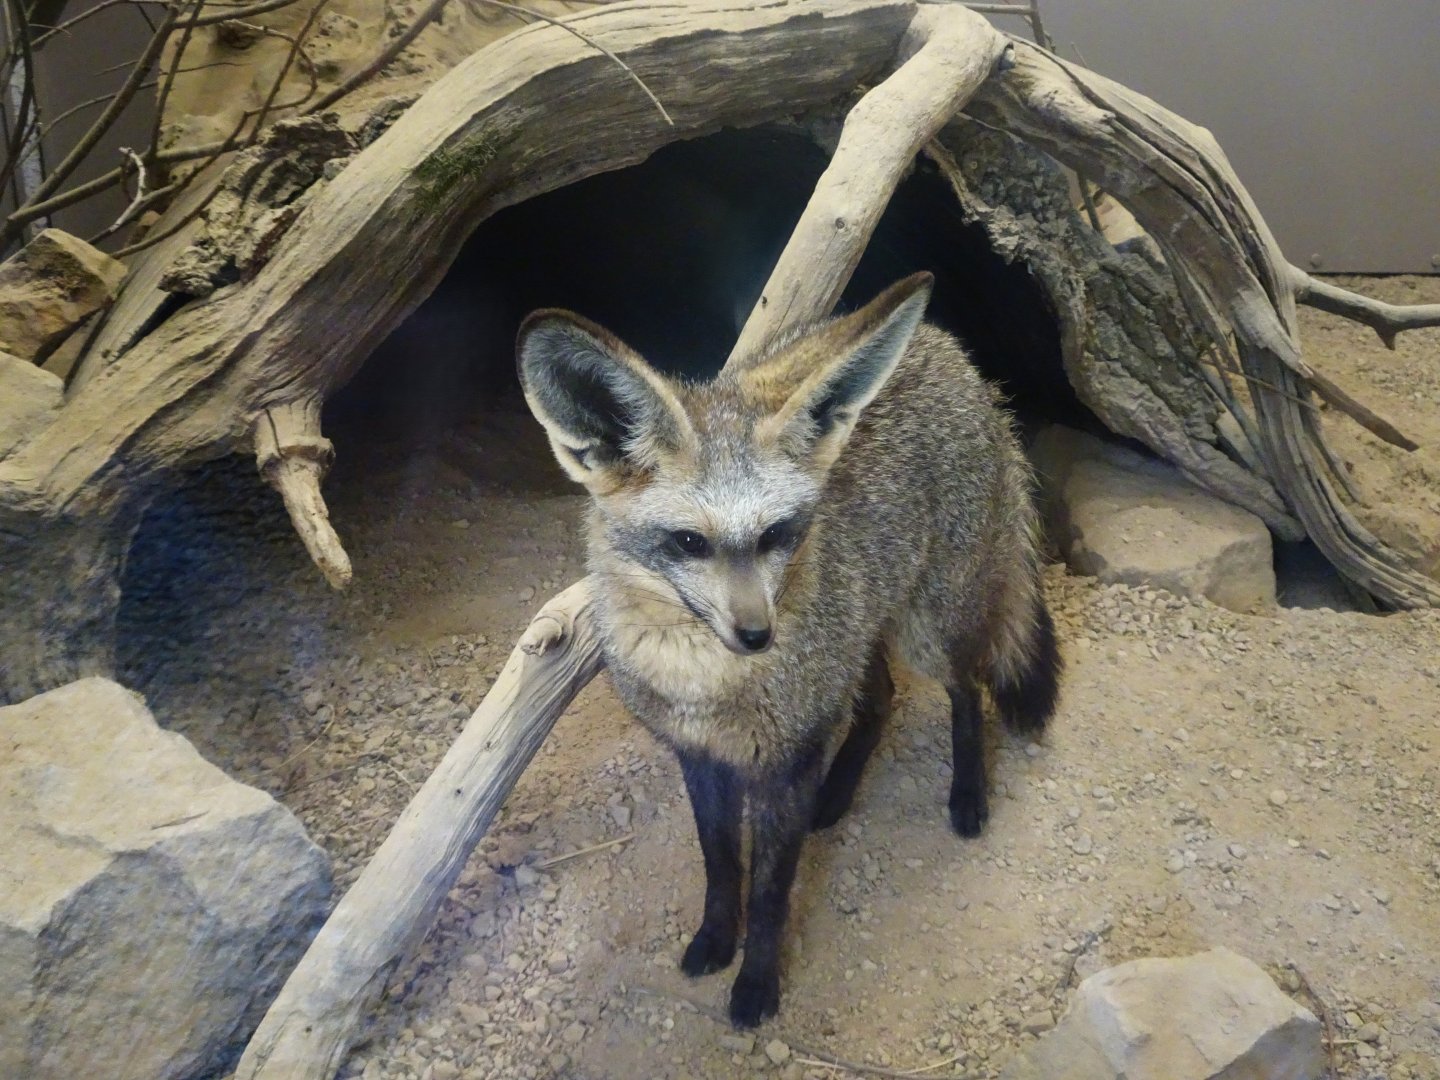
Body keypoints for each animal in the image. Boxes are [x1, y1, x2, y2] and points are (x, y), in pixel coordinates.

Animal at [516, 272, 1062, 1028]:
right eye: (690, 542)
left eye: (777, 534)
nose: (757, 634)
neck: (702, 684)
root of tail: (950, 351)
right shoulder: (700, 758)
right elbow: (721, 864)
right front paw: (716, 939)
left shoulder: (785, 761)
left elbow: (773, 892)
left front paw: (757, 984)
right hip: (865, 636)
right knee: (882, 698)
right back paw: (836, 794)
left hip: (926, 630)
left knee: (967, 689)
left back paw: (967, 794)